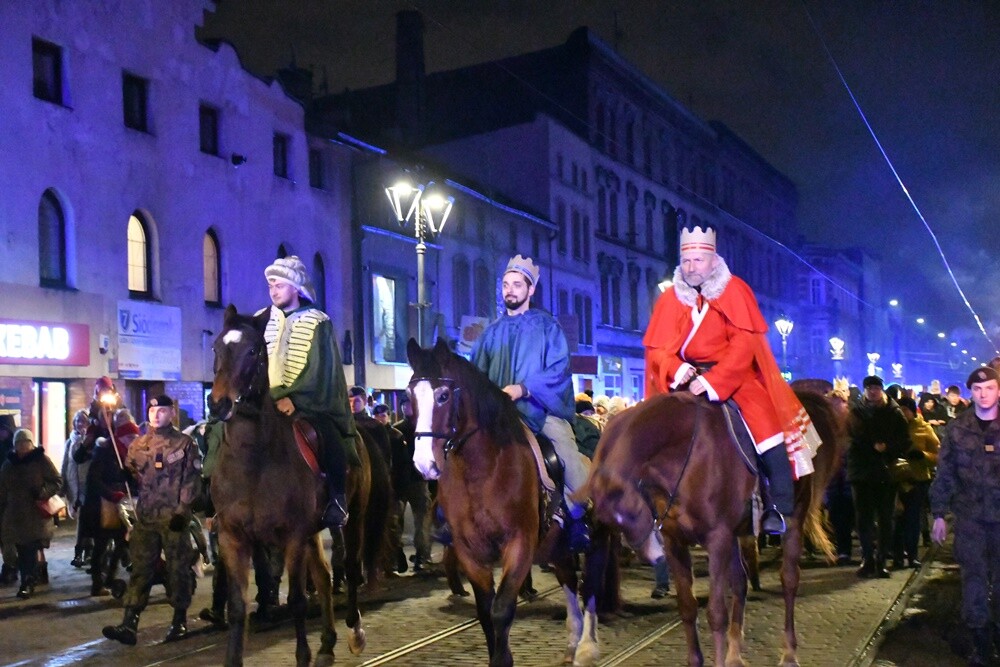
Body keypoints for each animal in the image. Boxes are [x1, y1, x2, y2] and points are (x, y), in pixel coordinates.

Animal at [207, 306, 386, 667]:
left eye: (253, 351)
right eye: (217, 347)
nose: (218, 404)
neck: (254, 463)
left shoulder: (292, 537)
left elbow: (298, 602)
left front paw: (303, 655)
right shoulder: (234, 539)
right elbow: (237, 608)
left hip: (353, 517)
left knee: (350, 566)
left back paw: (354, 631)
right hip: (313, 533)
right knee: (325, 576)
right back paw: (327, 644)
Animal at [404, 342, 608, 667]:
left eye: (443, 395)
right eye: (408, 396)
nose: (424, 464)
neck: (483, 472)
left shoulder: (519, 544)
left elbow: (501, 609)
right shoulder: (470, 551)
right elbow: (486, 612)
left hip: (598, 539)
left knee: (590, 588)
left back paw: (587, 647)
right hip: (559, 545)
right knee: (569, 581)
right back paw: (572, 643)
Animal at [584, 392, 844, 667]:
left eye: (625, 511)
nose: (648, 555)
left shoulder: (717, 538)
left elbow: (716, 613)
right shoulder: (675, 541)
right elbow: (688, 607)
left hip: (793, 520)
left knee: (790, 579)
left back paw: (789, 654)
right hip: (737, 534)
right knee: (740, 582)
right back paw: (734, 655)